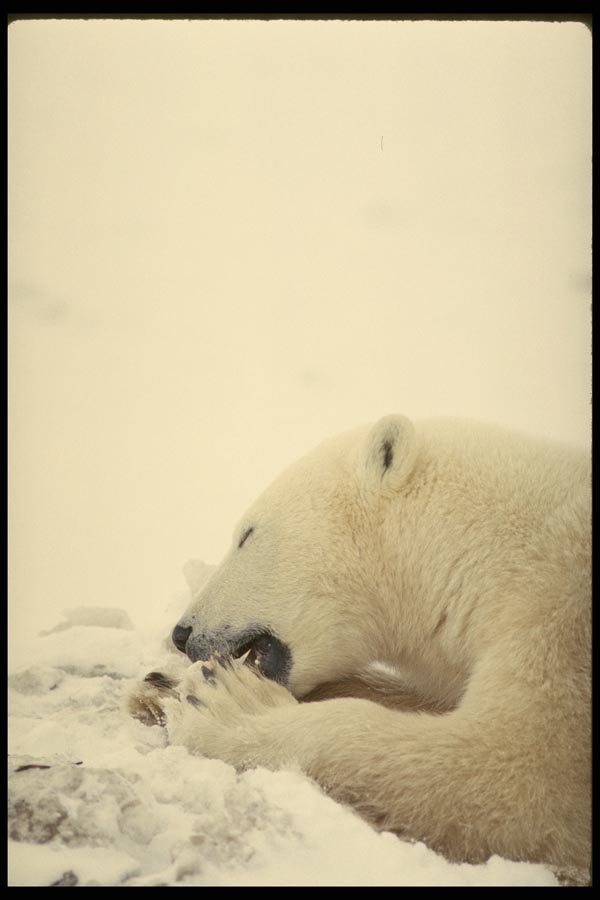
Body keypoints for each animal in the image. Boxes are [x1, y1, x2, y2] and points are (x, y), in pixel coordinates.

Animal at [129, 414, 591, 882]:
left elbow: (506, 775)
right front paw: (162, 685)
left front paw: (223, 703)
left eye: (246, 535)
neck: (494, 554)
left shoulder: (556, 624)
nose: (181, 633)